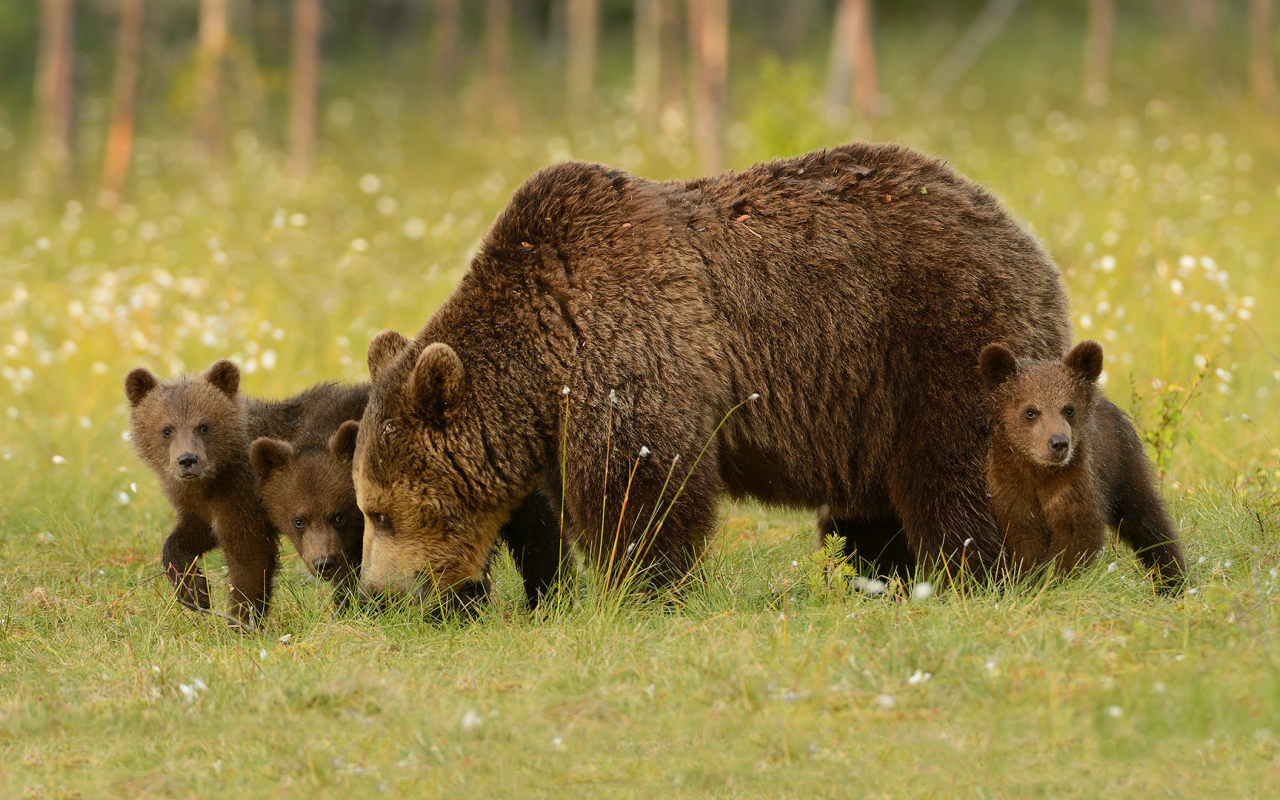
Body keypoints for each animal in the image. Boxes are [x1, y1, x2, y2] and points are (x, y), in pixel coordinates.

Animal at [350, 143, 1070, 604]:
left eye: (378, 513)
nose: (378, 592)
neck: (543, 353)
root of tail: (1028, 242)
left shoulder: (630, 346)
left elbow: (642, 486)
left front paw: (643, 589)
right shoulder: (562, 411)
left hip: (941, 340)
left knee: (957, 470)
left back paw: (976, 573)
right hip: (871, 398)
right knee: (871, 506)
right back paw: (877, 577)